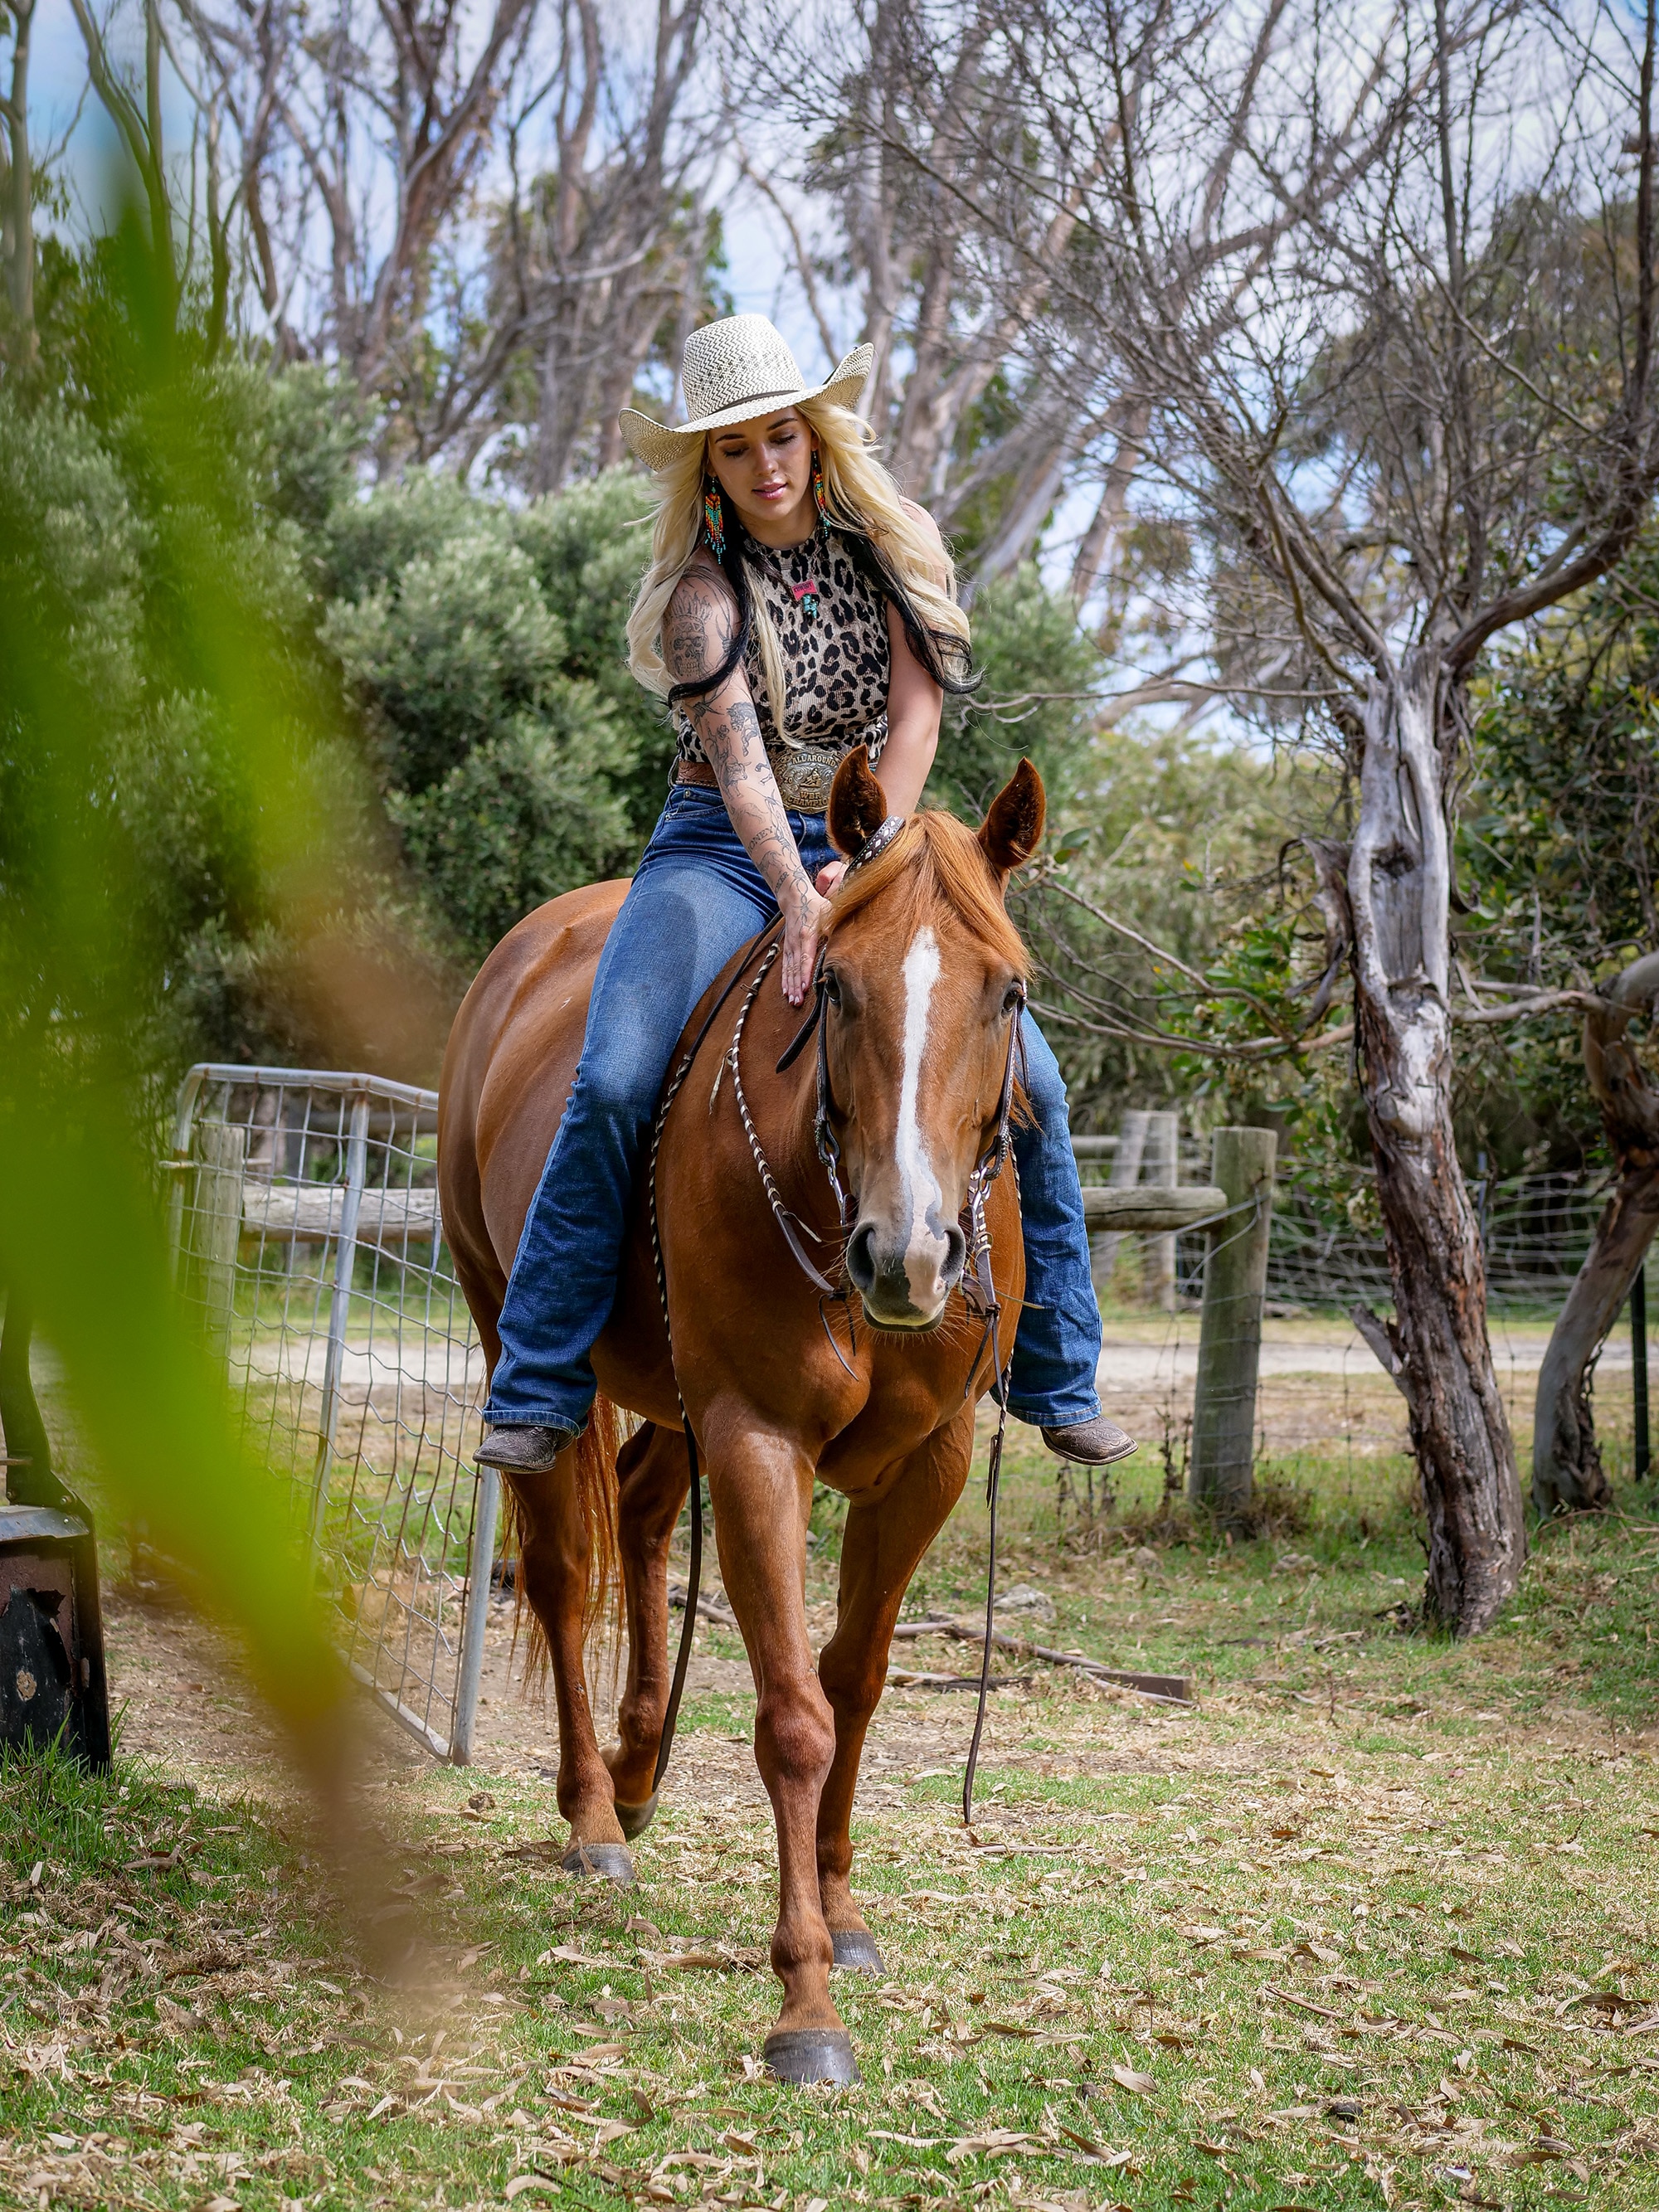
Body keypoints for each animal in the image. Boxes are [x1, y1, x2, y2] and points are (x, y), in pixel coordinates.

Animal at [437, 748, 1045, 2085]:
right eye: (841, 991)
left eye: (1009, 994)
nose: (907, 1254)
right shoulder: (759, 1438)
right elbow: (793, 1717)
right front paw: (804, 2003)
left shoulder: (926, 1463)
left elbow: (856, 1681)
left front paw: (844, 1908)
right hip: (511, 1325)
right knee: (560, 1569)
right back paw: (594, 1815)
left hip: (677, 1403)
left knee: (644, 1512)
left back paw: (638, 1766)